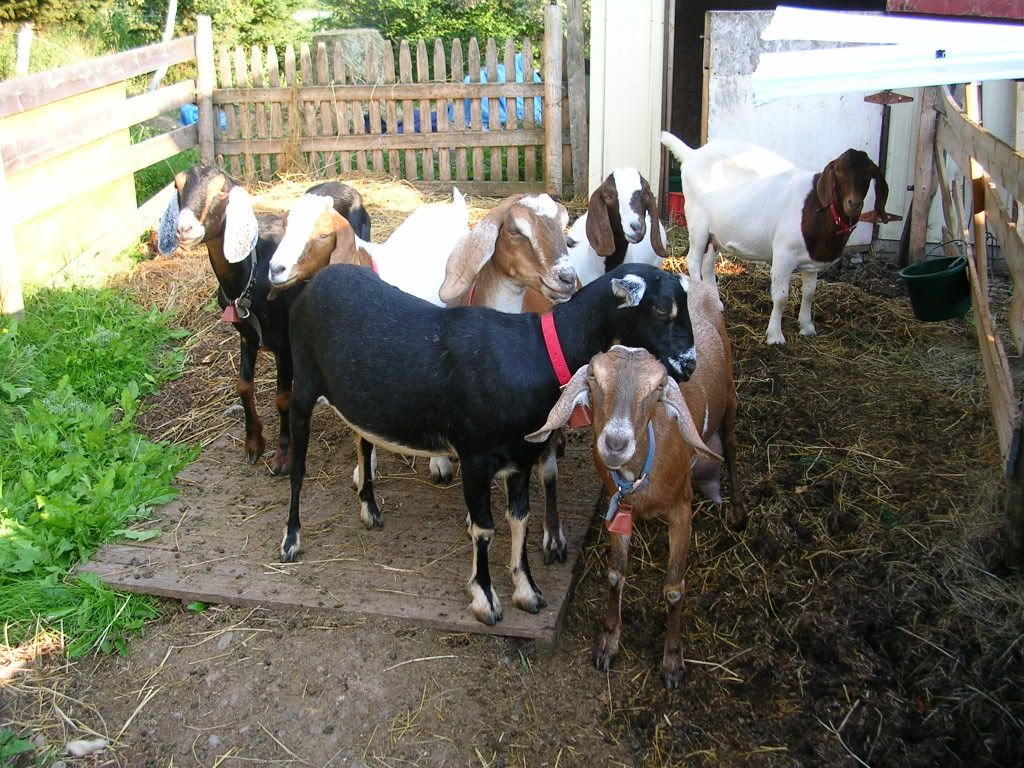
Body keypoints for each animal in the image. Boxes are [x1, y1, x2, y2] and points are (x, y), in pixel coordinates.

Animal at [156, 164, 370, 473]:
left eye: (222, 192)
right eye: (177, 185)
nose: (185, 229)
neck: (249, 276)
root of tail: (347, 186)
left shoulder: (284, 344)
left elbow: (282, 399)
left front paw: (284, 454)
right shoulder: (246, 334)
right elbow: (243, 386)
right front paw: (253, 443)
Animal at [282, 263, 703, 626]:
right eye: (662, 309)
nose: (690, 365)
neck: (537, 354)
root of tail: (318, 281)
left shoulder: (519, 458)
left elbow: (520, 518)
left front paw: (527, 591)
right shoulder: (475, 458)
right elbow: (484, 528)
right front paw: (485, 599)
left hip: (361, 399)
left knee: (364, 441)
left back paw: (369, 508)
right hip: (303, 385)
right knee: (299, 469)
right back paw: (291, 540)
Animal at [526, 283, 745, 685]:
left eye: (658, 387)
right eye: (594, 379)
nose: (615, 443)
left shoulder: (681, 510)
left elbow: (674, 589)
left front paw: (672, 662)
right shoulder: (618, 508)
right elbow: (615, 574)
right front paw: (607, 644)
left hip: (731, 396)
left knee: (733, 448)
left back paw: (738, 512)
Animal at [661, 132, 896, 344]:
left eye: (870, 173)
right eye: (838, 170)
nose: (854, 203)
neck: (816, 210)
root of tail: (693, 154)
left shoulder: (812, 263)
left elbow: (809, 293)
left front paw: (807, 326)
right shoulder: (784, 254)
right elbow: (781, 297)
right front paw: (775, 336)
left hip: (715, 233)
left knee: (708, 265)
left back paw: (715, 304)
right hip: (697, 221)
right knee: (693, 261)